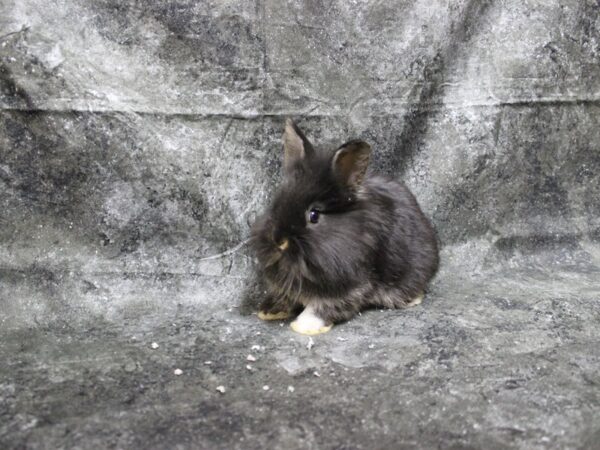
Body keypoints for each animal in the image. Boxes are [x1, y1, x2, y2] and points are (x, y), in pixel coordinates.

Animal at [250, 119, 440, 334]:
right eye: (277, 202)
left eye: (314, 215)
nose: (278, 240)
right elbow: (286, 296)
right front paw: (269, 310)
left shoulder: (350, 287)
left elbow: (323, 307)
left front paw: (304, 326)